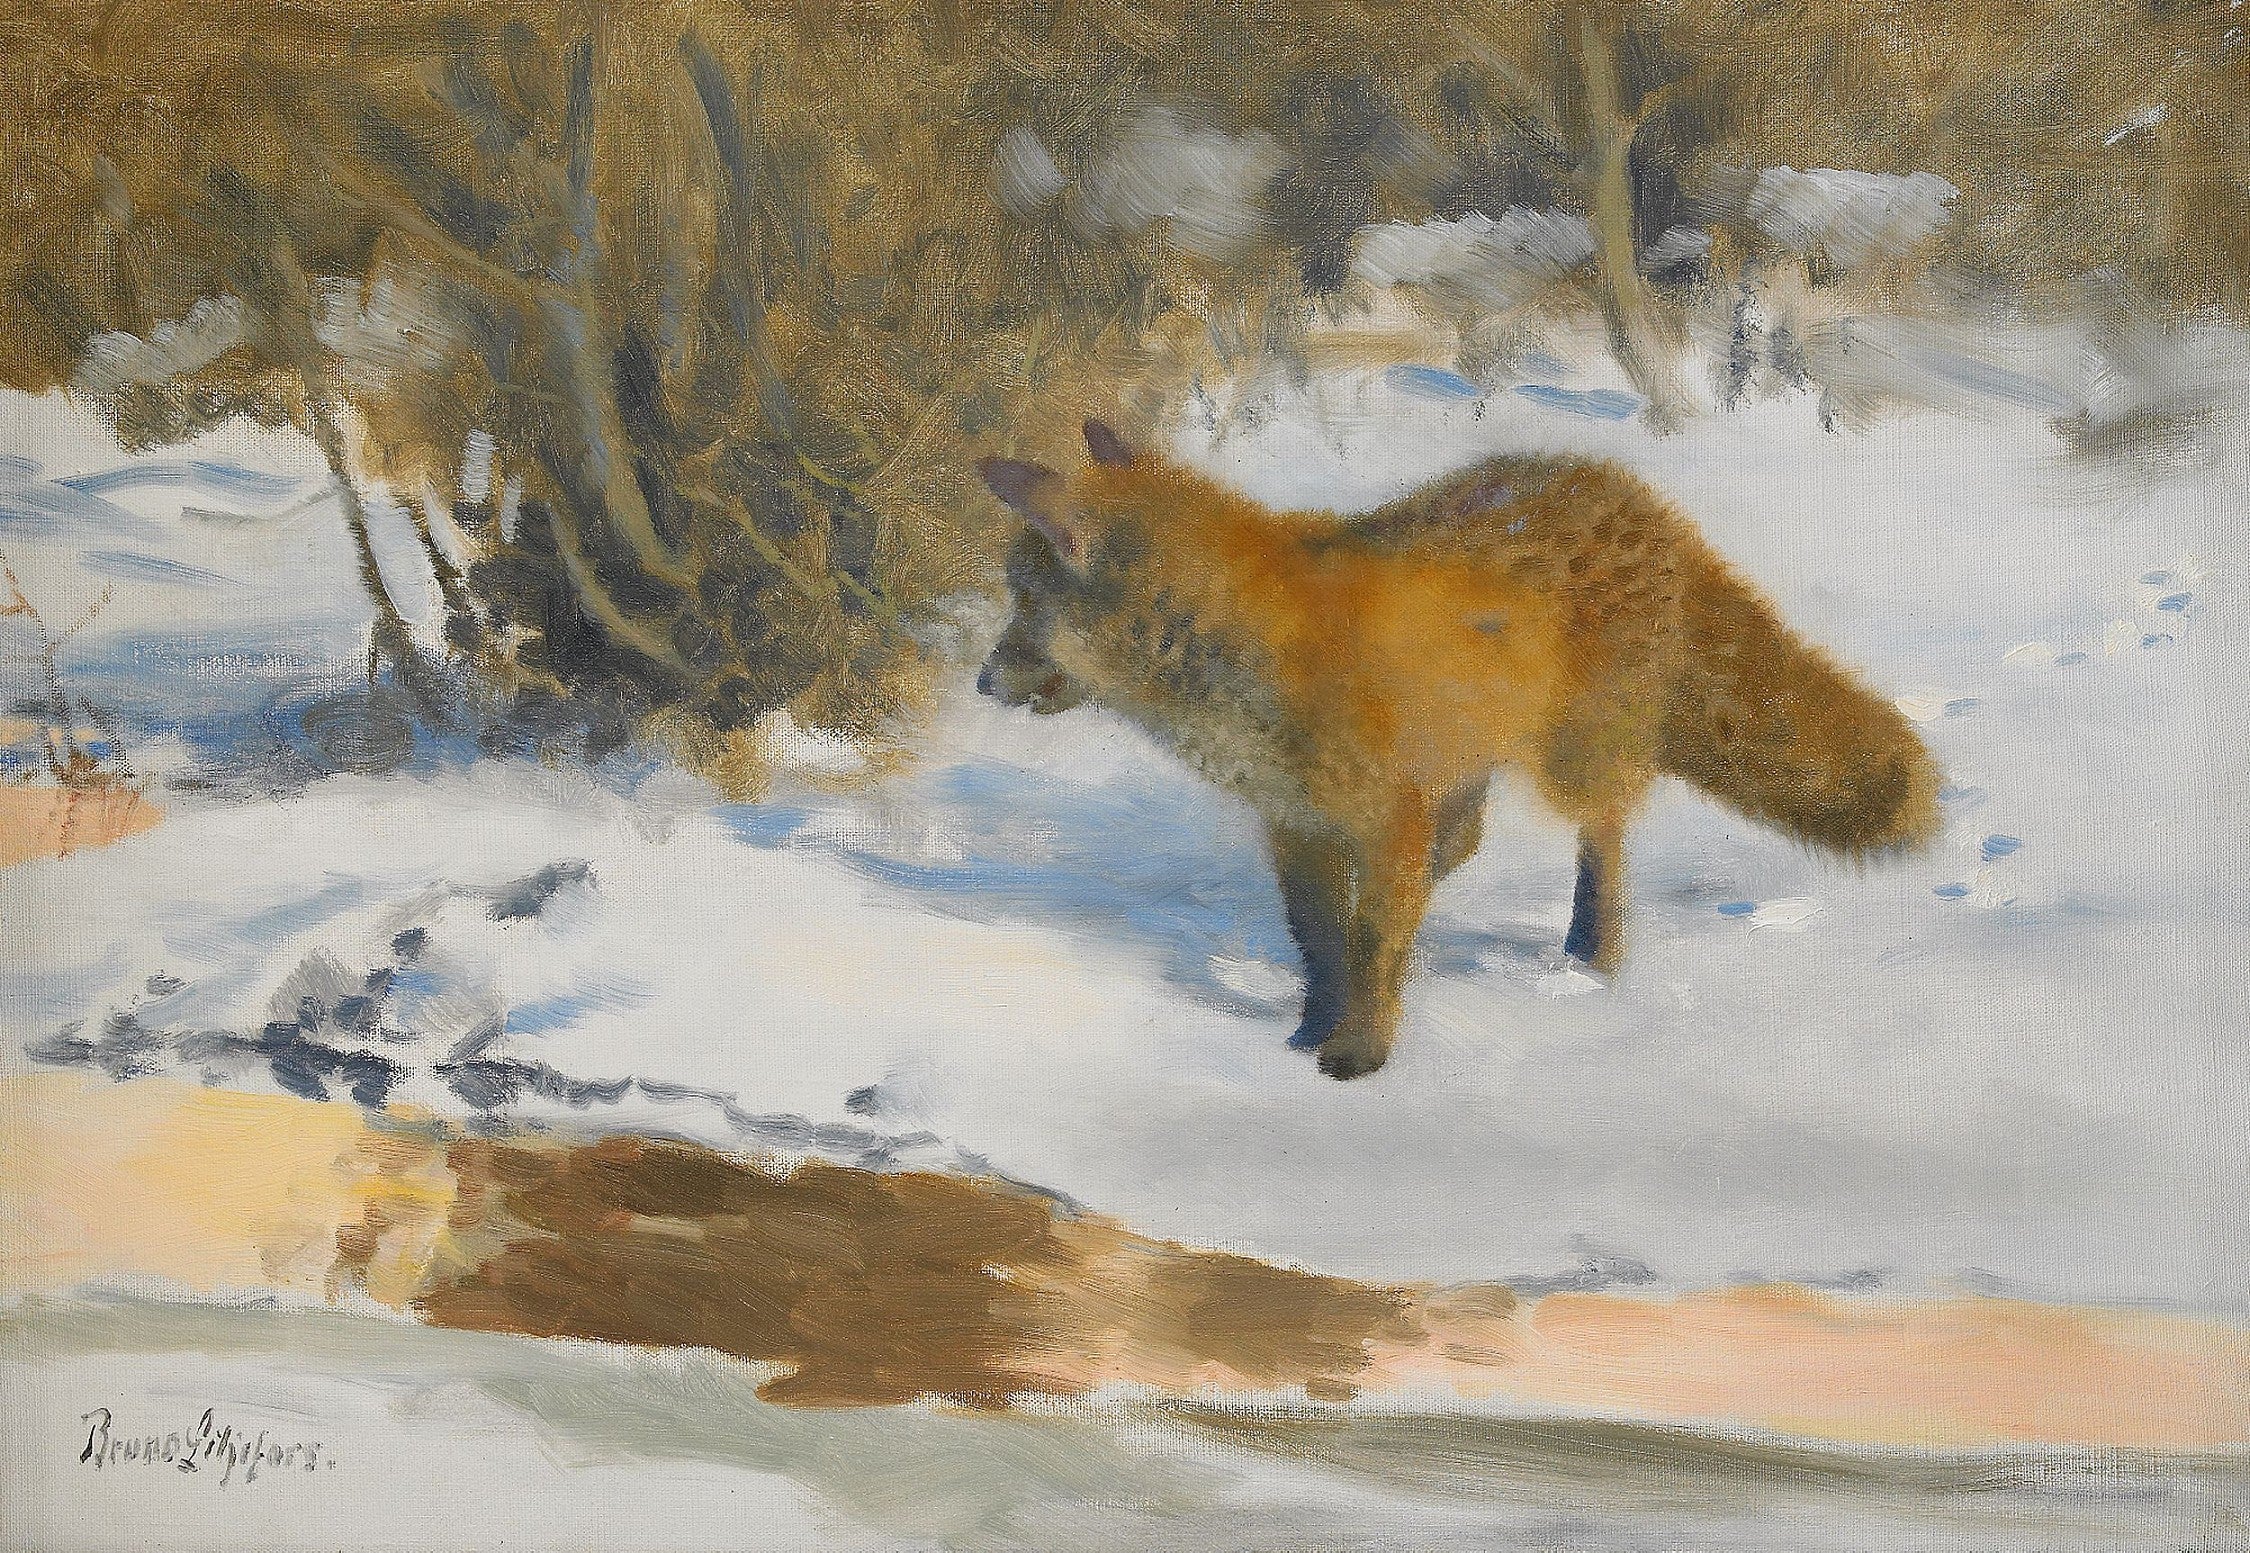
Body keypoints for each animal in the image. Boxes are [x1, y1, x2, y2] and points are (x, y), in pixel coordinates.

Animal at [977, 420, 1941, 1078]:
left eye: (1023, 600)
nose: (982, 682)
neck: (1251, 654)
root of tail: (1640, 498)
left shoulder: (1381, 813)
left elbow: (1372, 939)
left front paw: (1359, 1050)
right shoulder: (1300, 823)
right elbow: (1321, 940)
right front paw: (1311, 1026)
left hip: (1571, 761)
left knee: (1605, 835)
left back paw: (1593, 954)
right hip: (1471, 760)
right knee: (1466, 841)